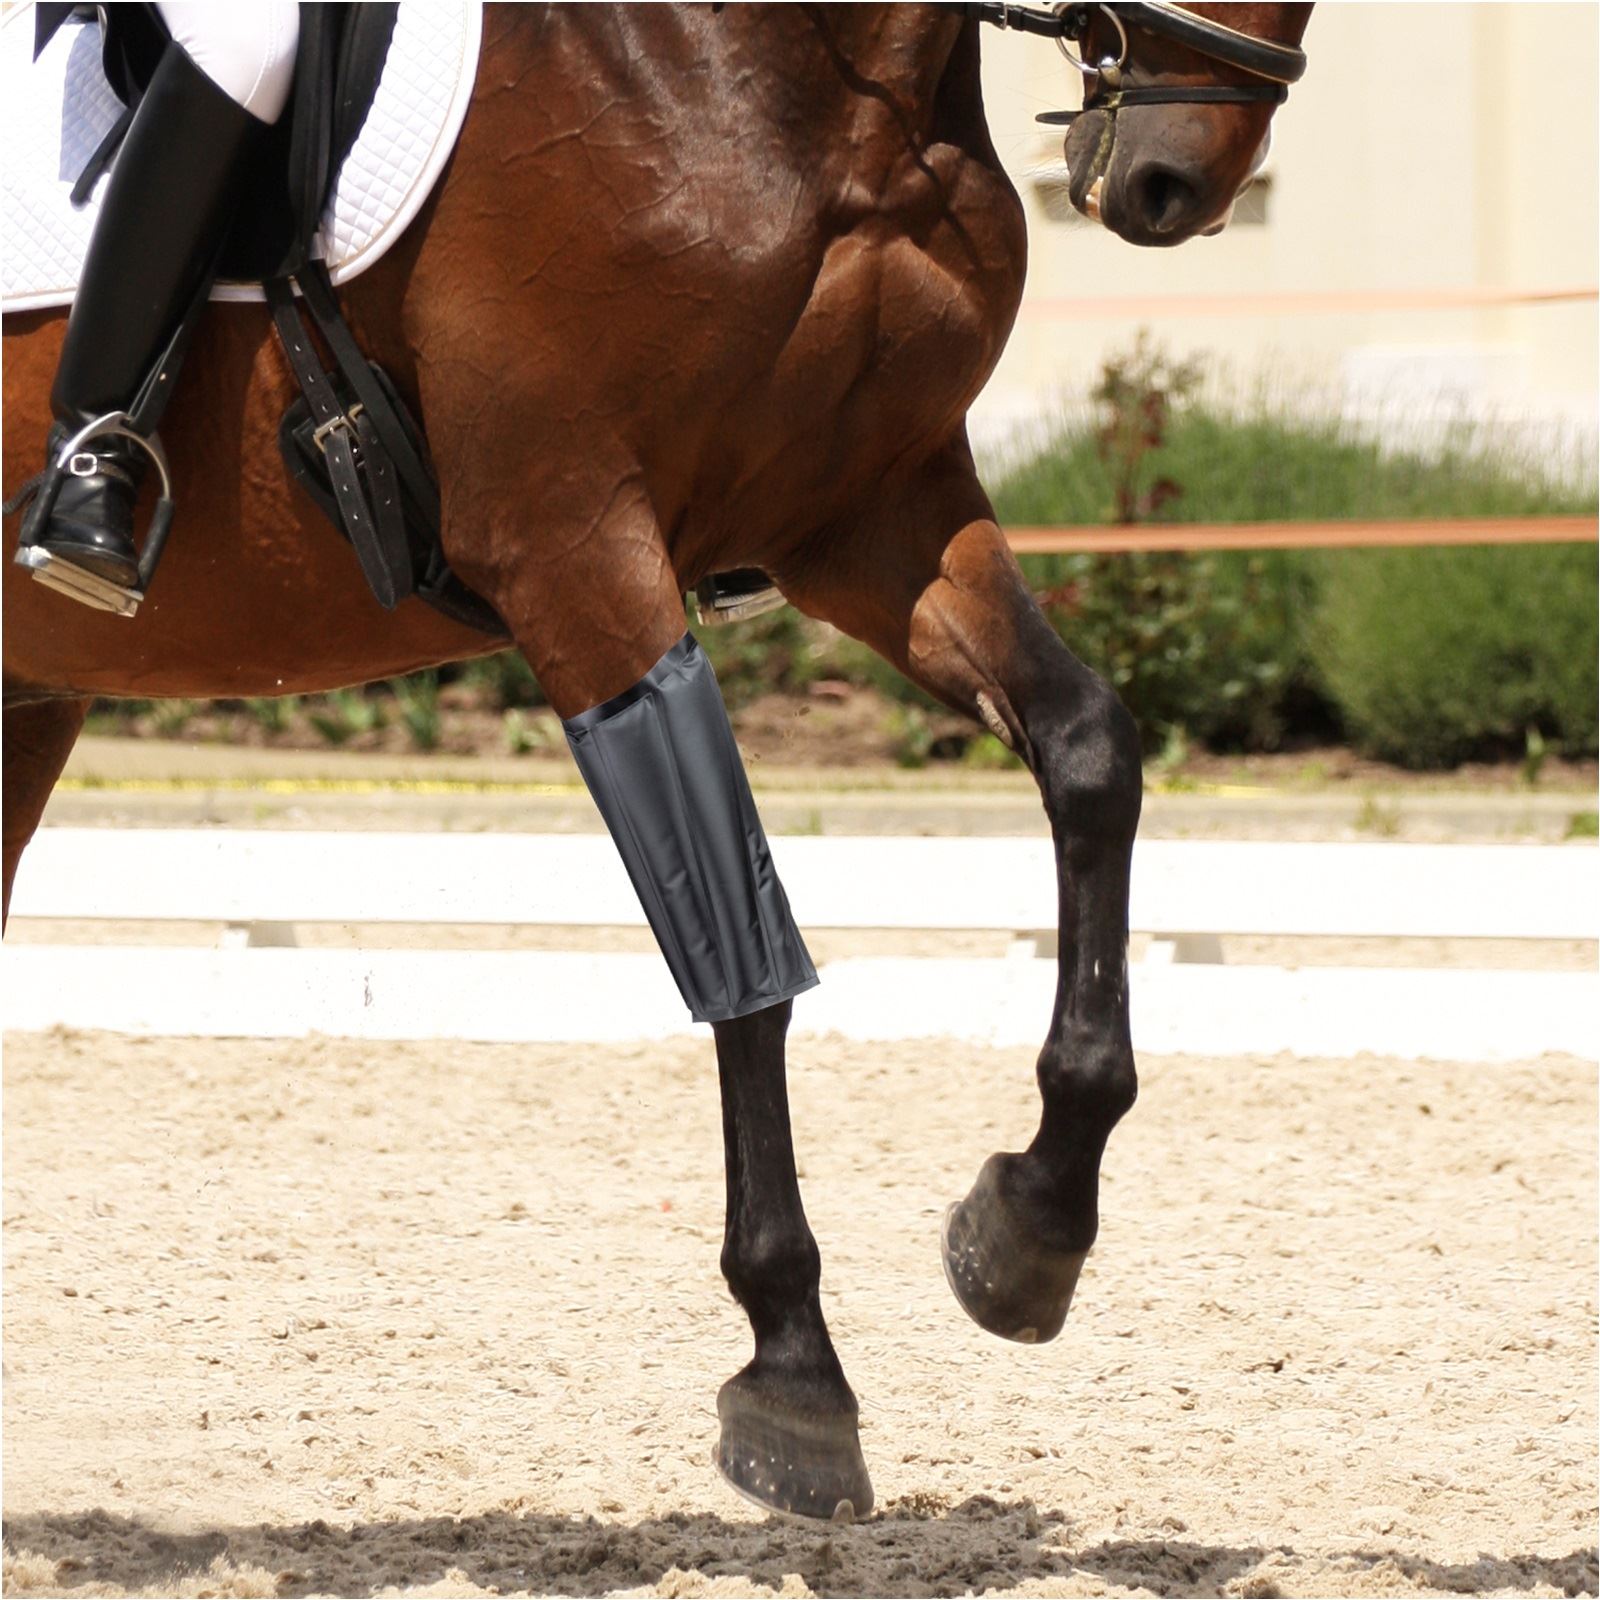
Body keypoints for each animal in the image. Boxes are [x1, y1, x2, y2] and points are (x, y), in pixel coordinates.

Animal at [2, 3, 1314, 1520]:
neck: (756, 76)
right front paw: (795, 1371)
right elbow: (737, 939)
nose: (1176, 181)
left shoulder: (868, 511)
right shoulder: (572, 538)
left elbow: (1090, 748)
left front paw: (1028, 1228)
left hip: (28, 700)